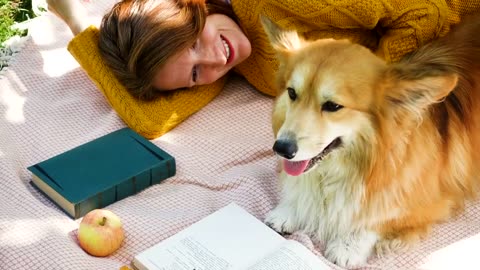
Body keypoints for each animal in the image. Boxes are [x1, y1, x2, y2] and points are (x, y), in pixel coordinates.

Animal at [262, 15, 480, 268]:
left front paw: (349, 245)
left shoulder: (433, 203)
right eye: (292, 93)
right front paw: (290, 209)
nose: (281, 148)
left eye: (333, 106)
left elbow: (380, 218)